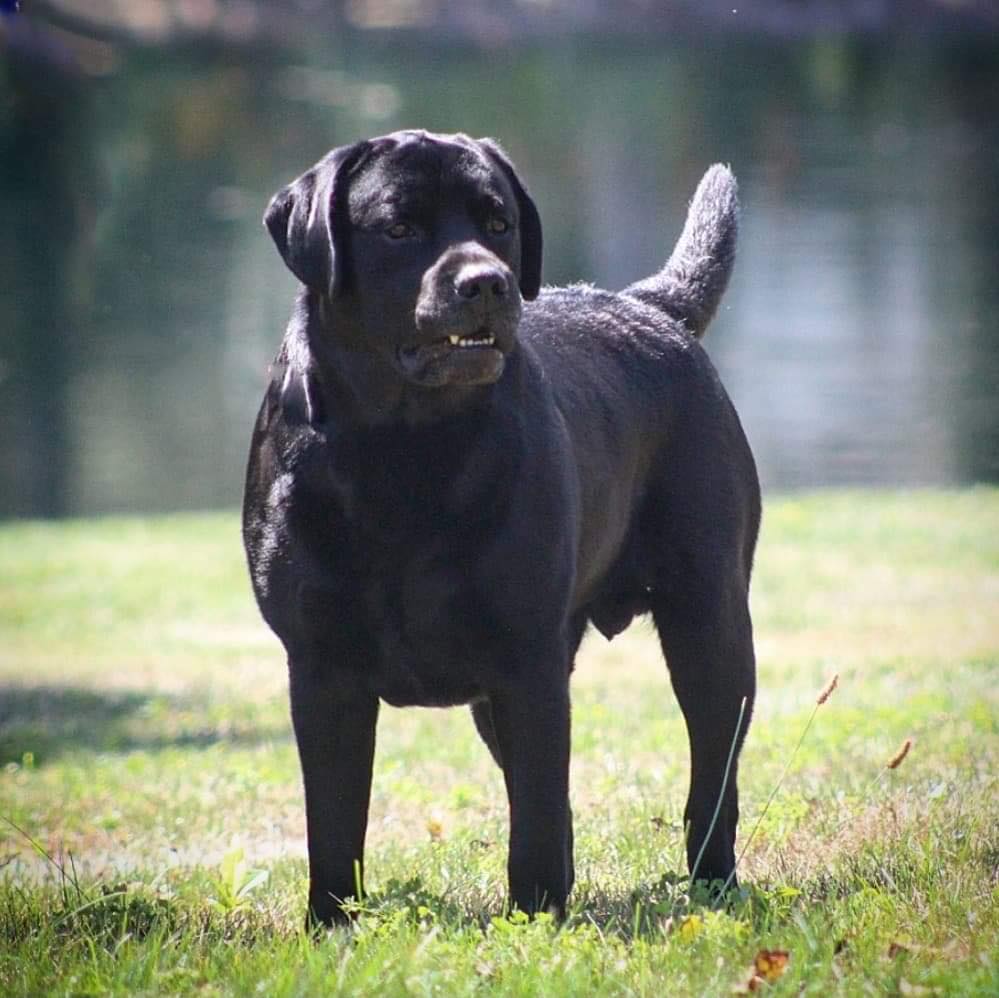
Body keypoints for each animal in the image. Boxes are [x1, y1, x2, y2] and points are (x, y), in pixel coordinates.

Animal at [242, 130, 759, 927]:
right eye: (399, 228)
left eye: (498, 223)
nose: (486, 282)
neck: (403, 447)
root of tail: (650, 307)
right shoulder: (320, 669)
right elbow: (332, 821)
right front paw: (329, 924)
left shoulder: (526, 661)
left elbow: (536, 814)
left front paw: (538, 917)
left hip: (710, 620)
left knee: (711, 773)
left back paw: (713, 881)